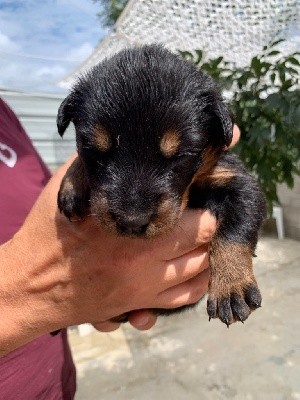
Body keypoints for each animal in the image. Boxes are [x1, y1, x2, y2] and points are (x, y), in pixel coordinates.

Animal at [57, 45, 266, 326]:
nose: (132, 222)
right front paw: (72, 183)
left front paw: (231, 286)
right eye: (95, 151)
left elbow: (235, 229)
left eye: (180, 155)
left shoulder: (238, 182)